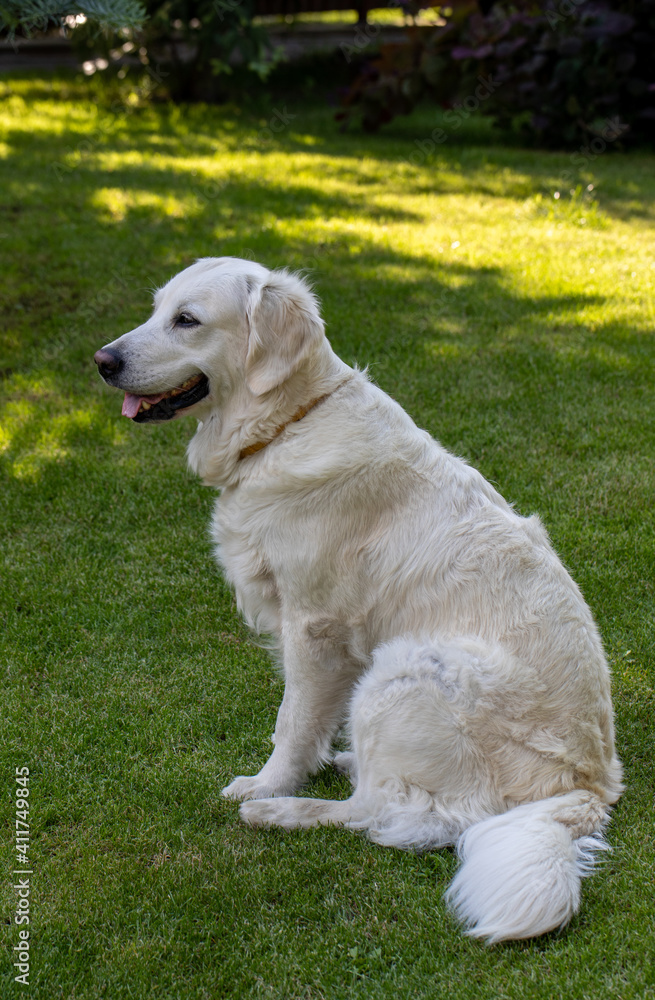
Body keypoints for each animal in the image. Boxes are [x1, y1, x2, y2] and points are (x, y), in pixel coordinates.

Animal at [95, 260, 624, 944]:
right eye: (156, 308)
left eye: (187, 320)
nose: (102, 361)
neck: (287, 424)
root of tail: (588, 789)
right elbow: (306, 719)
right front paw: (310, 757)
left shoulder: (314, 626)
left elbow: (292, 723)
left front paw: (267, 783)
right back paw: (345, 762)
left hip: (408, 669)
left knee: (397, 820)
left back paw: (282, 811)